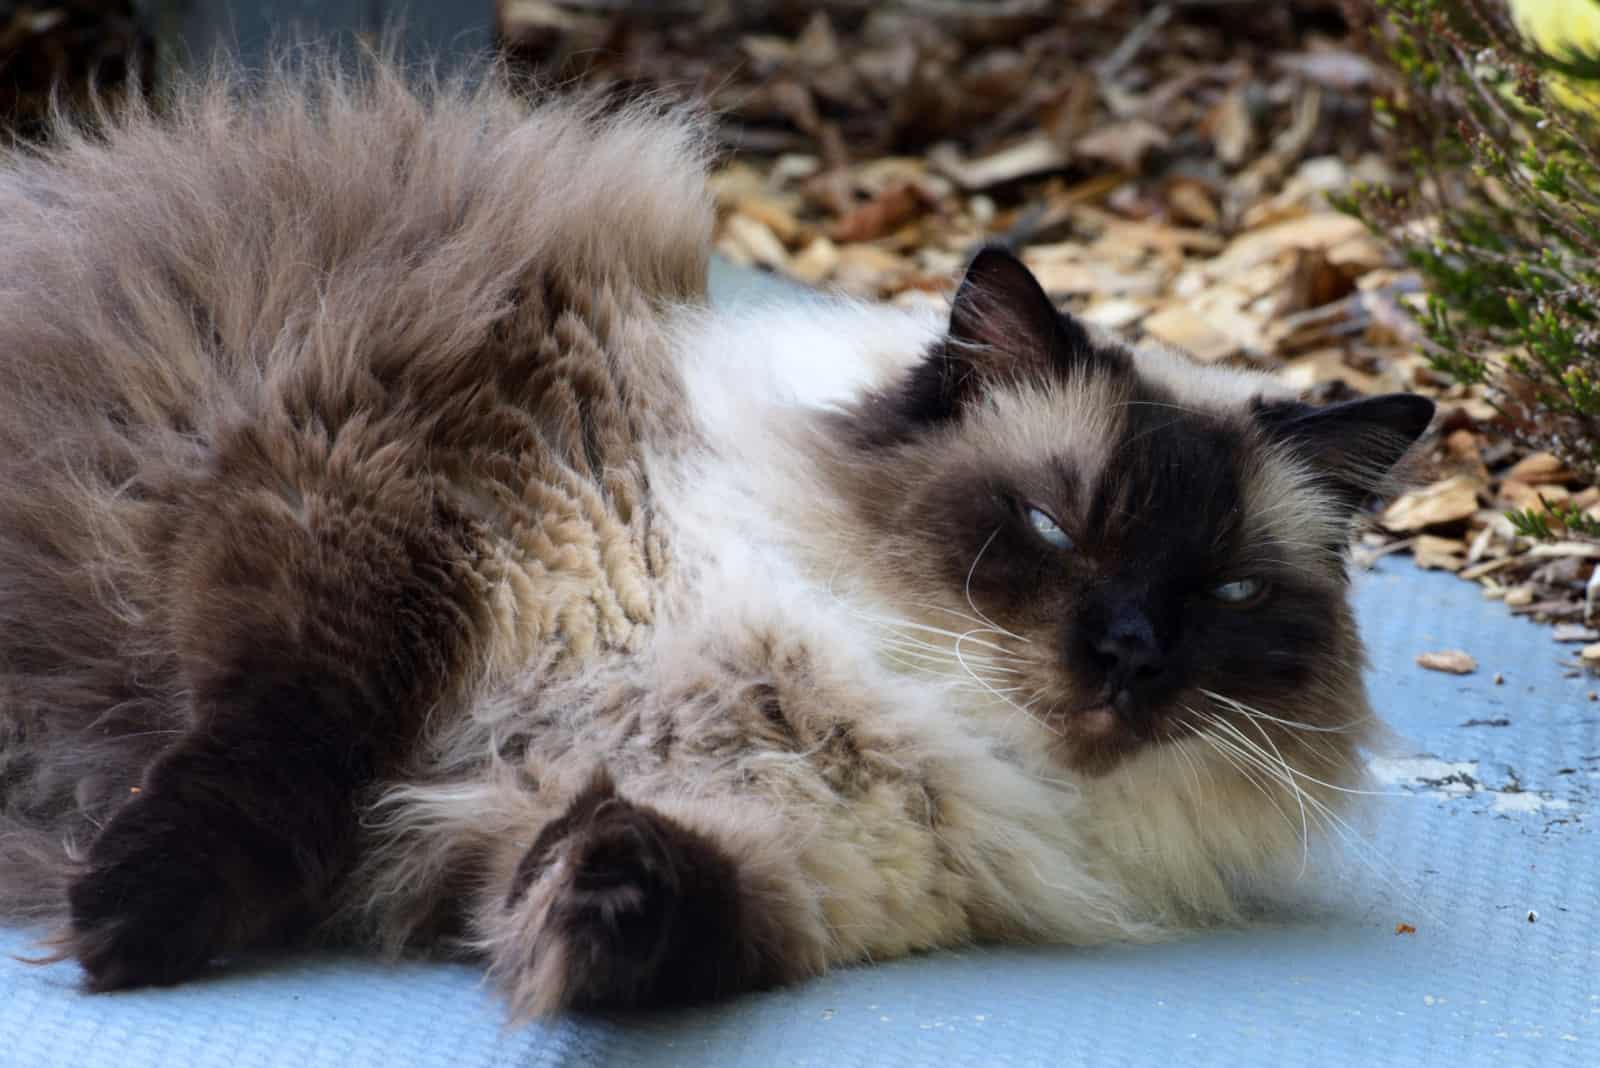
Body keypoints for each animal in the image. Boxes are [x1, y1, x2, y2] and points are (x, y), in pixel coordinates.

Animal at [0, 56, 1440, 1016]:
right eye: (1049, 524)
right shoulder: (367, 532)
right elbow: (266, 764)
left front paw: (592, 898)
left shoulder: (770, 862)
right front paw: (126, 924)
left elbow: (640, 896)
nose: (1135, 651)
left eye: (1230, 596)